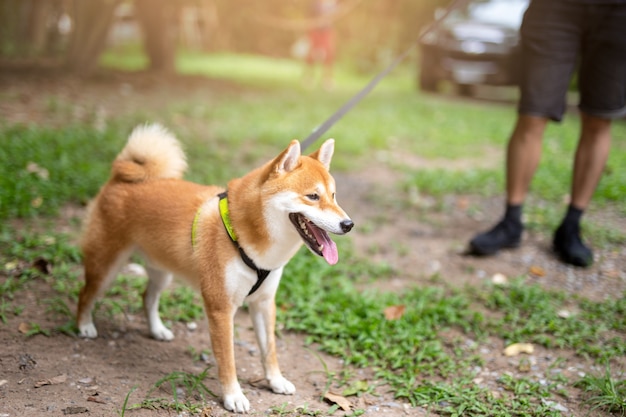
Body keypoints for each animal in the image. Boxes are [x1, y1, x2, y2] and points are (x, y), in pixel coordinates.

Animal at [74, 124, 352, 412]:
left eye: (333, 196)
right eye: (312, 196)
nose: (348, 224)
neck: (249, 239)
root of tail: (120, 177)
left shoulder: (264, 303)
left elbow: (269, 351)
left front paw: (276, 381)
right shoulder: (221, 308)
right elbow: (228, 360)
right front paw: (233, 396)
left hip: (162, 272)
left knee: (147, 297)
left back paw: (157, 330)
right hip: (106, 267)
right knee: (86, 293)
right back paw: (84, 326)